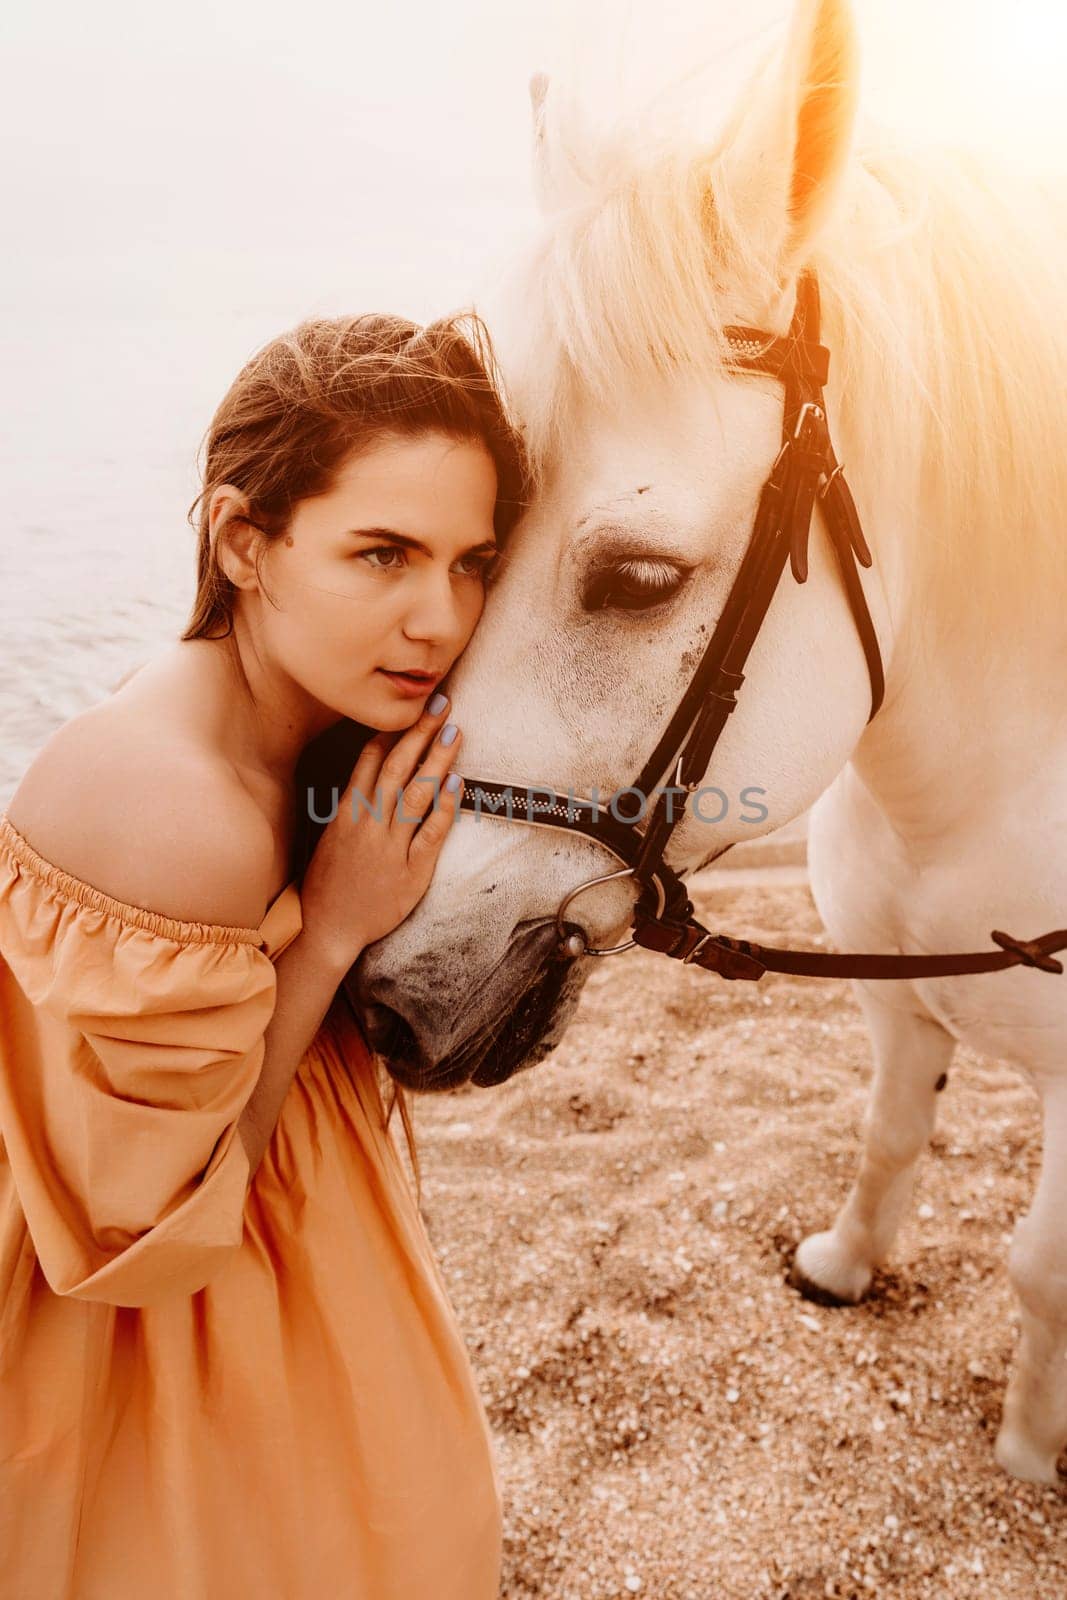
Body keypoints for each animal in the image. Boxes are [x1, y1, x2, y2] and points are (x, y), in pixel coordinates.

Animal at [356, 0, 1067, 1478]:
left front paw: (1031, 1452)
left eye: (634, 579)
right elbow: (883, 1138)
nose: (382, 999)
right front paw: (842, 1266)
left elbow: (1041, 1269)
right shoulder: (894, 997)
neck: (971, 801)